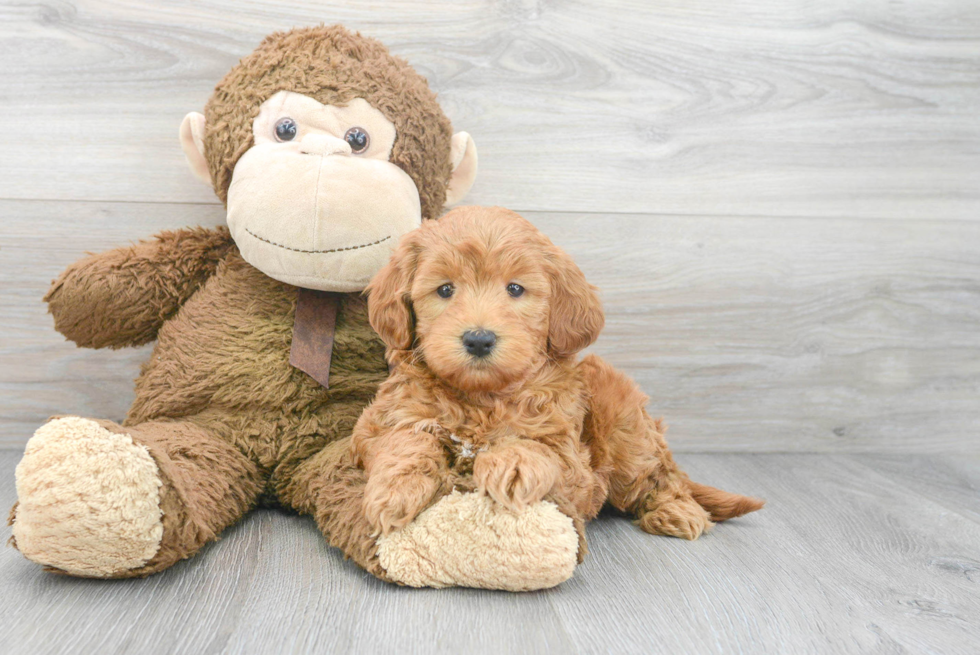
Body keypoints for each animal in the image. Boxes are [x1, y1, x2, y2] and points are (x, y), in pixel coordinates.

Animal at [356, 206, 760, 544]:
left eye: (515, 289)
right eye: (444, 289)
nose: (479, 339)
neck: (483, 397)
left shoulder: (574, 468)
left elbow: (538, 447)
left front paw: (512, 463)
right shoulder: (379, 424)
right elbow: (405, 440)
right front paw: (394, 491)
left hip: (625, 428)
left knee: (660, 478)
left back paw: (677, 510)